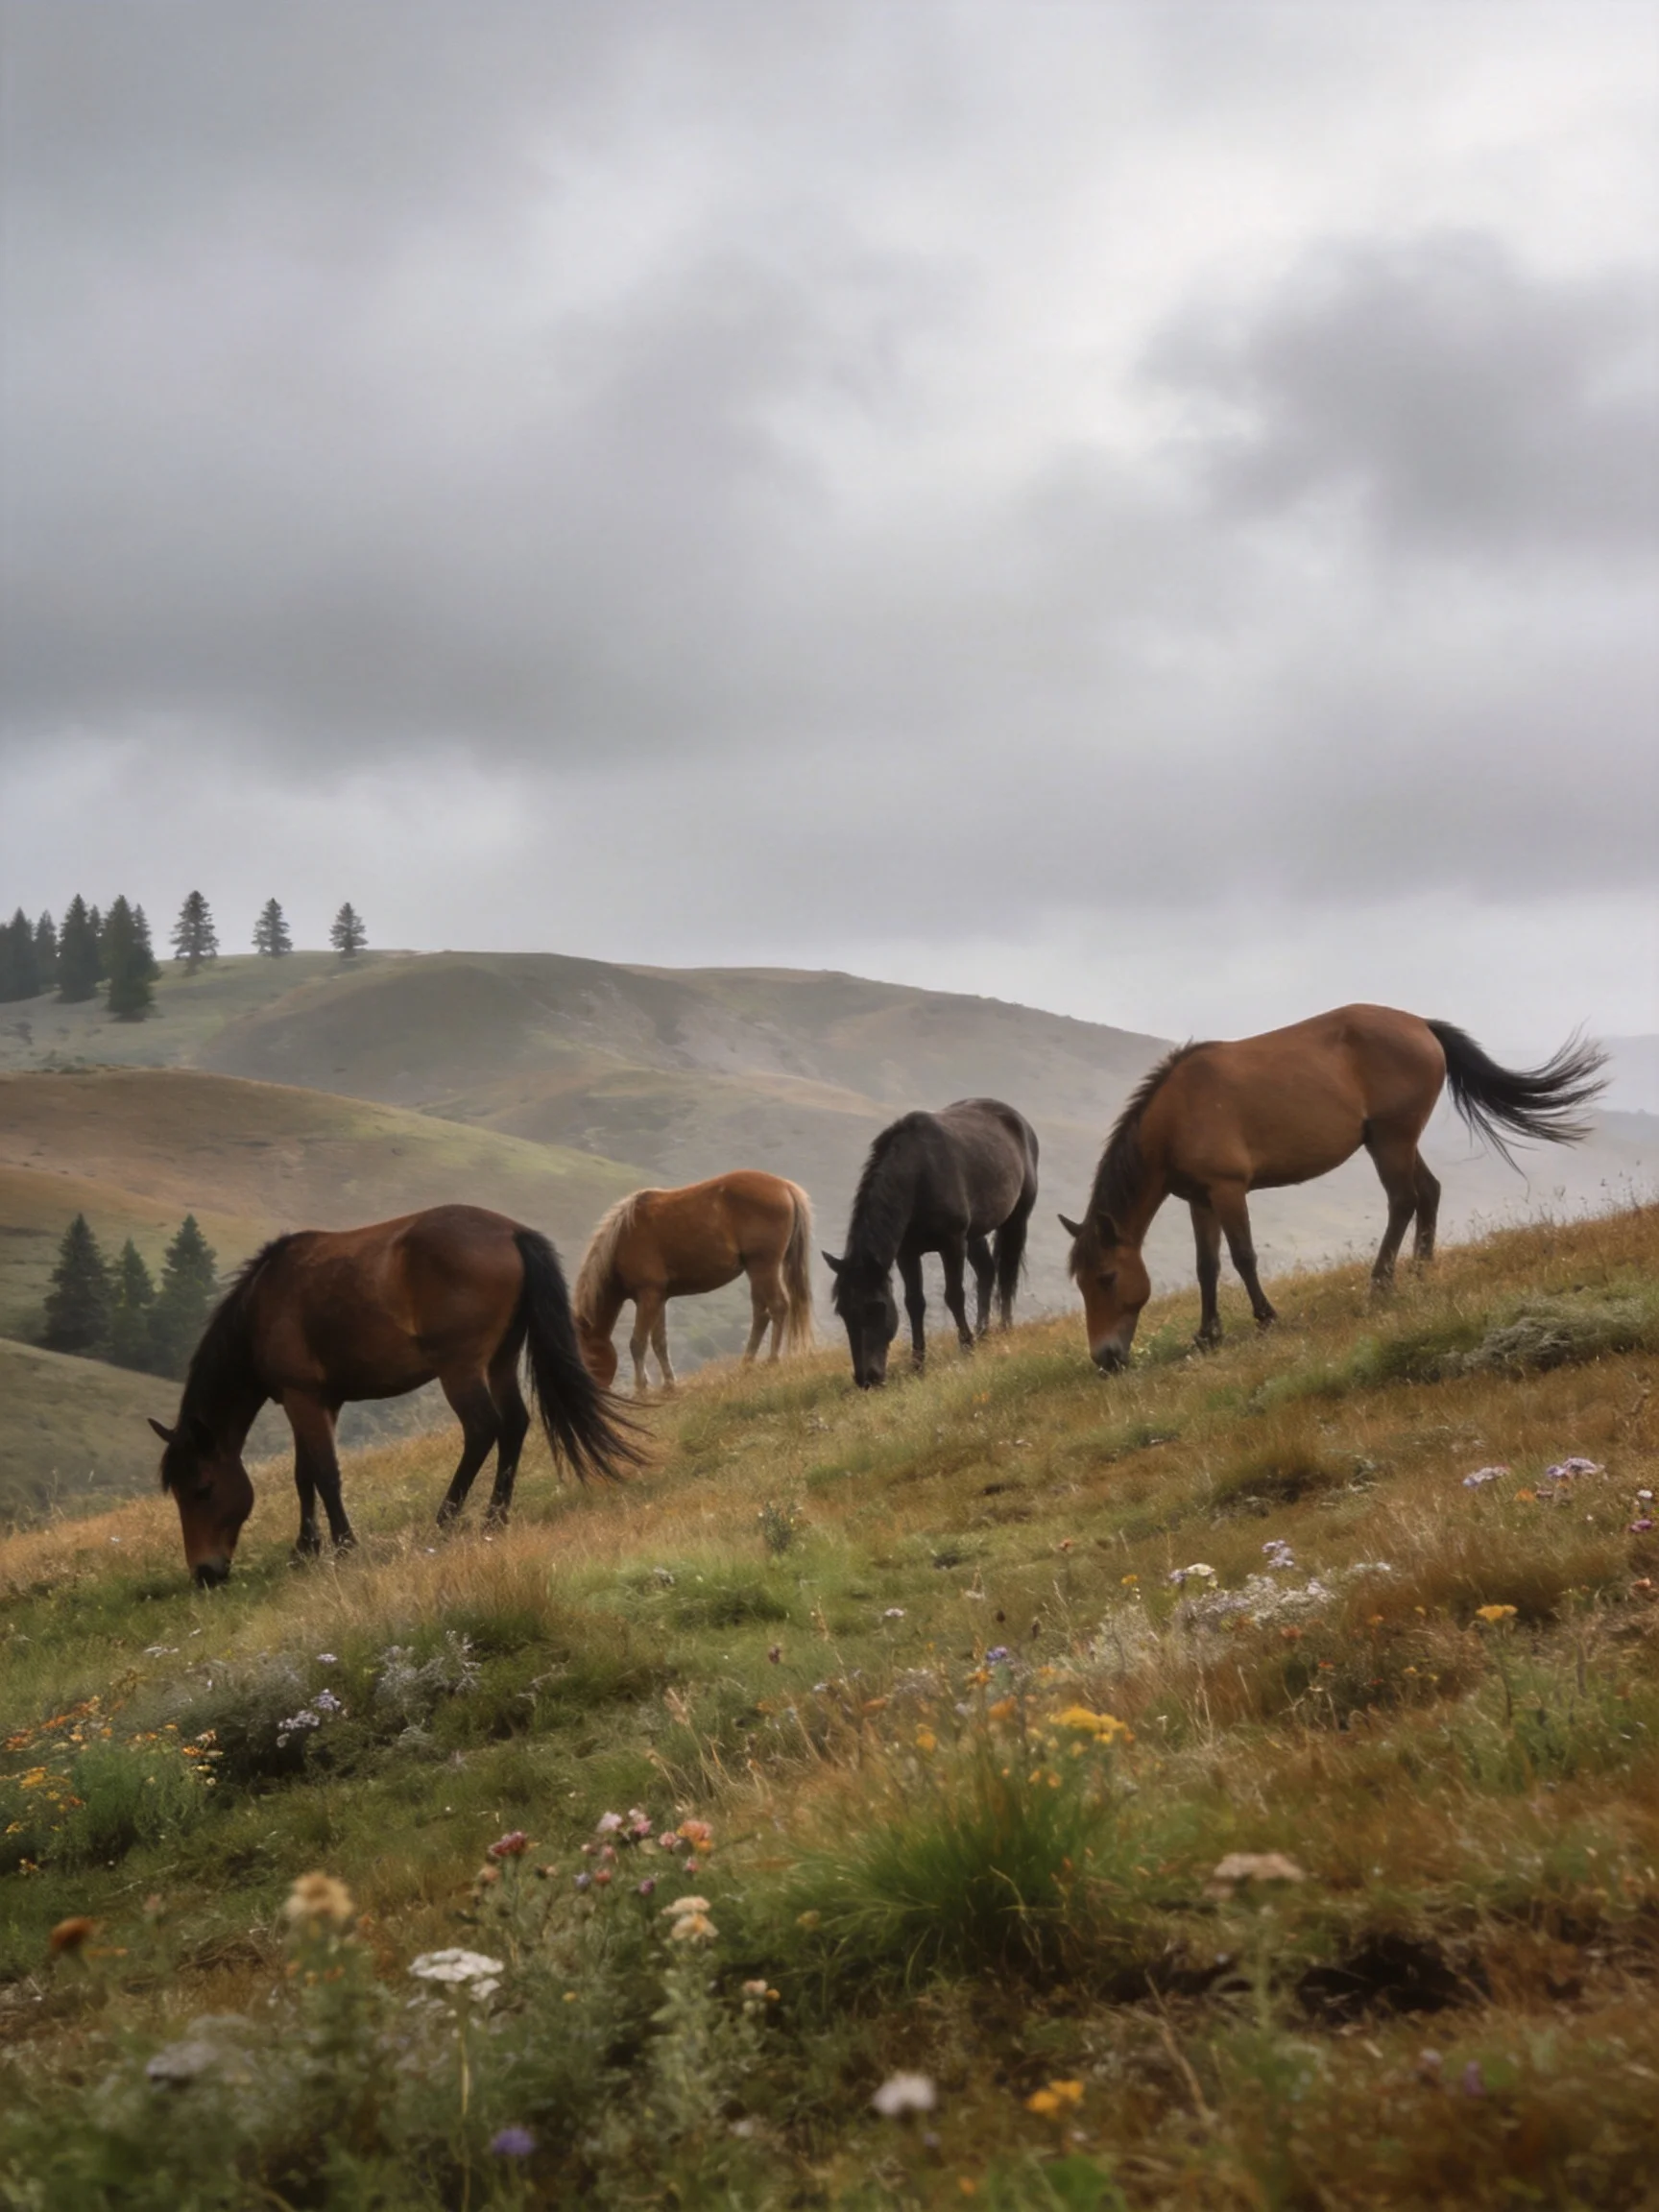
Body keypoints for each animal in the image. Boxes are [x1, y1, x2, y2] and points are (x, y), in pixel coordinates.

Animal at [149, 1204, 640, 1585]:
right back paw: (494, 1518)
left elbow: (324, 1473)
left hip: (460, 1369)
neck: (260, 1306)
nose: (205, 1573)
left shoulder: (301, 1397)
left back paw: (446, 1520)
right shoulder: (320, 1401)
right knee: (515, 1425)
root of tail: (512, 1233)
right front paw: (305, 1548)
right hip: (500, 1359)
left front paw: (343, 1546)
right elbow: (304, 1473)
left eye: (203, 1489)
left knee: (483, 1428)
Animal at [572, 1171, 815, 1396]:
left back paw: (772, 1359)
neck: (623, 1238)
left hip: (764, 1267)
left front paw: (641, 1389)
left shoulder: (648, 1296)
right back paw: (747, 1361)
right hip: (757, 1272)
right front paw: (669, 1384)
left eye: (586, 1357)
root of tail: (785, 1187)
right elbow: (659, 1342)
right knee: (761, 1313)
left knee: (777, 1307)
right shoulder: (658, 1298)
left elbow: (638, 1343)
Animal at [824, 1098, 1039, 1388]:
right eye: (844, 1312)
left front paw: (967, 1347)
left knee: (1006, 1273)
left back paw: (1003, 1328)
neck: (919, 1175)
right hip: (975, 1234)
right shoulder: (906, 1254)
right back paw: (983, 1332)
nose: (867, 1379)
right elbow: (914, 1303)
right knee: (986, 1271)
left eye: (876, 1308)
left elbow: (954, 1295)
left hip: (1016, 1220)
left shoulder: (952, 1243)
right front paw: (918, 1363)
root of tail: (1019, 1120)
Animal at [1060, 1006, 1608, 1372]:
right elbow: (1207, 1267)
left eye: (1107, 1277)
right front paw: (1206, 1336)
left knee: (1404, 1200)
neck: (1176, 1114)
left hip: (1391, 1139)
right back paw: (1421, 1270)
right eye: (1082, 1283)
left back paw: (1381, 1283)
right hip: (1395, 1140)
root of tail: (1420, 1024)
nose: (1105, 1358)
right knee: (1428, 1193)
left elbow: (1243, 1257)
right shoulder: (1201, 1199)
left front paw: (1266, 1319)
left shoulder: (1229, 1190)